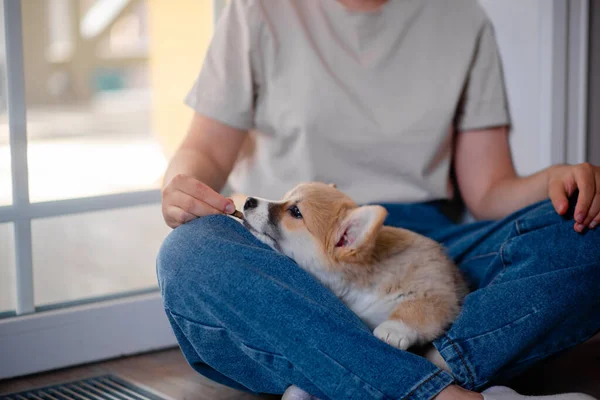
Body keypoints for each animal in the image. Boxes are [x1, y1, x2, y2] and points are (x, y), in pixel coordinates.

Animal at [232, 183, 466, 352]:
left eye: (295, 212)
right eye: (283, 198)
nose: (249, 201)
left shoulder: (436, 290)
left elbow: (415, 308)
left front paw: (393, 329)